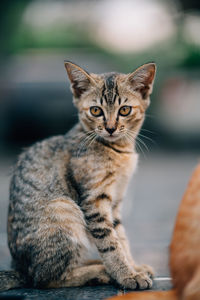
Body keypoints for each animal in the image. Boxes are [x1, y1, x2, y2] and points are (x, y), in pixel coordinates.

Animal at [0, 61, 156, 290]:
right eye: (96, 110)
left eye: (125, 110)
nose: (110, 128)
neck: (118, 150)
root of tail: (20, 268)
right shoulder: (94, 201)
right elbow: (110, 243)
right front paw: (127, 274)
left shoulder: (115, 201)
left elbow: (120, 236)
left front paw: (133, 267)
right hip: (64, 209)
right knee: (45, 279)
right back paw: (99, 272)